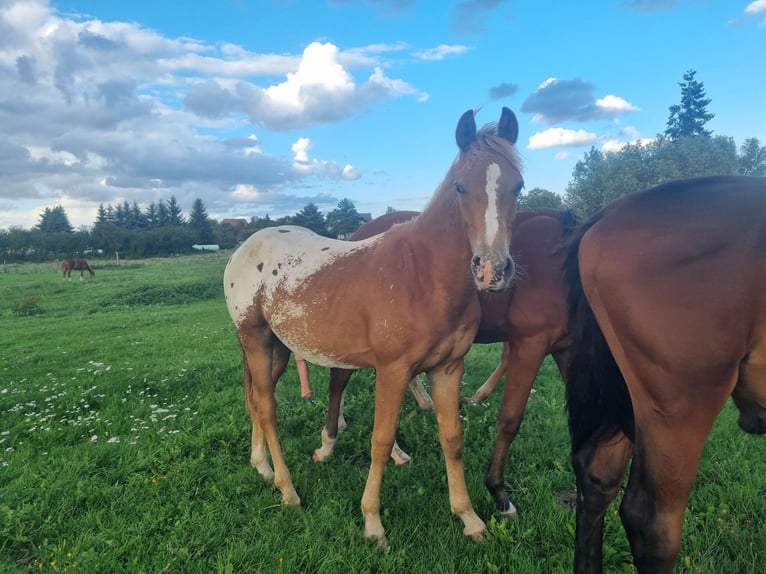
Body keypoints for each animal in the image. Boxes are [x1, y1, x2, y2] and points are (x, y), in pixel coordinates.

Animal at [223, 107, 524, 546]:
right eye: (460, 187)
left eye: (518, 186)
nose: (492, 270)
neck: (423, 275)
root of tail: (242, 249)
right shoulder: (393, 371)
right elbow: (381, 441)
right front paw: (372, 522)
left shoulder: (448, 368)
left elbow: (452, 438)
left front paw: (469, 518)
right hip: (256, 339)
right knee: (266, 407)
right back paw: (288, 490)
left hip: (275, 347)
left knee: (256, 402)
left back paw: (261, 466)